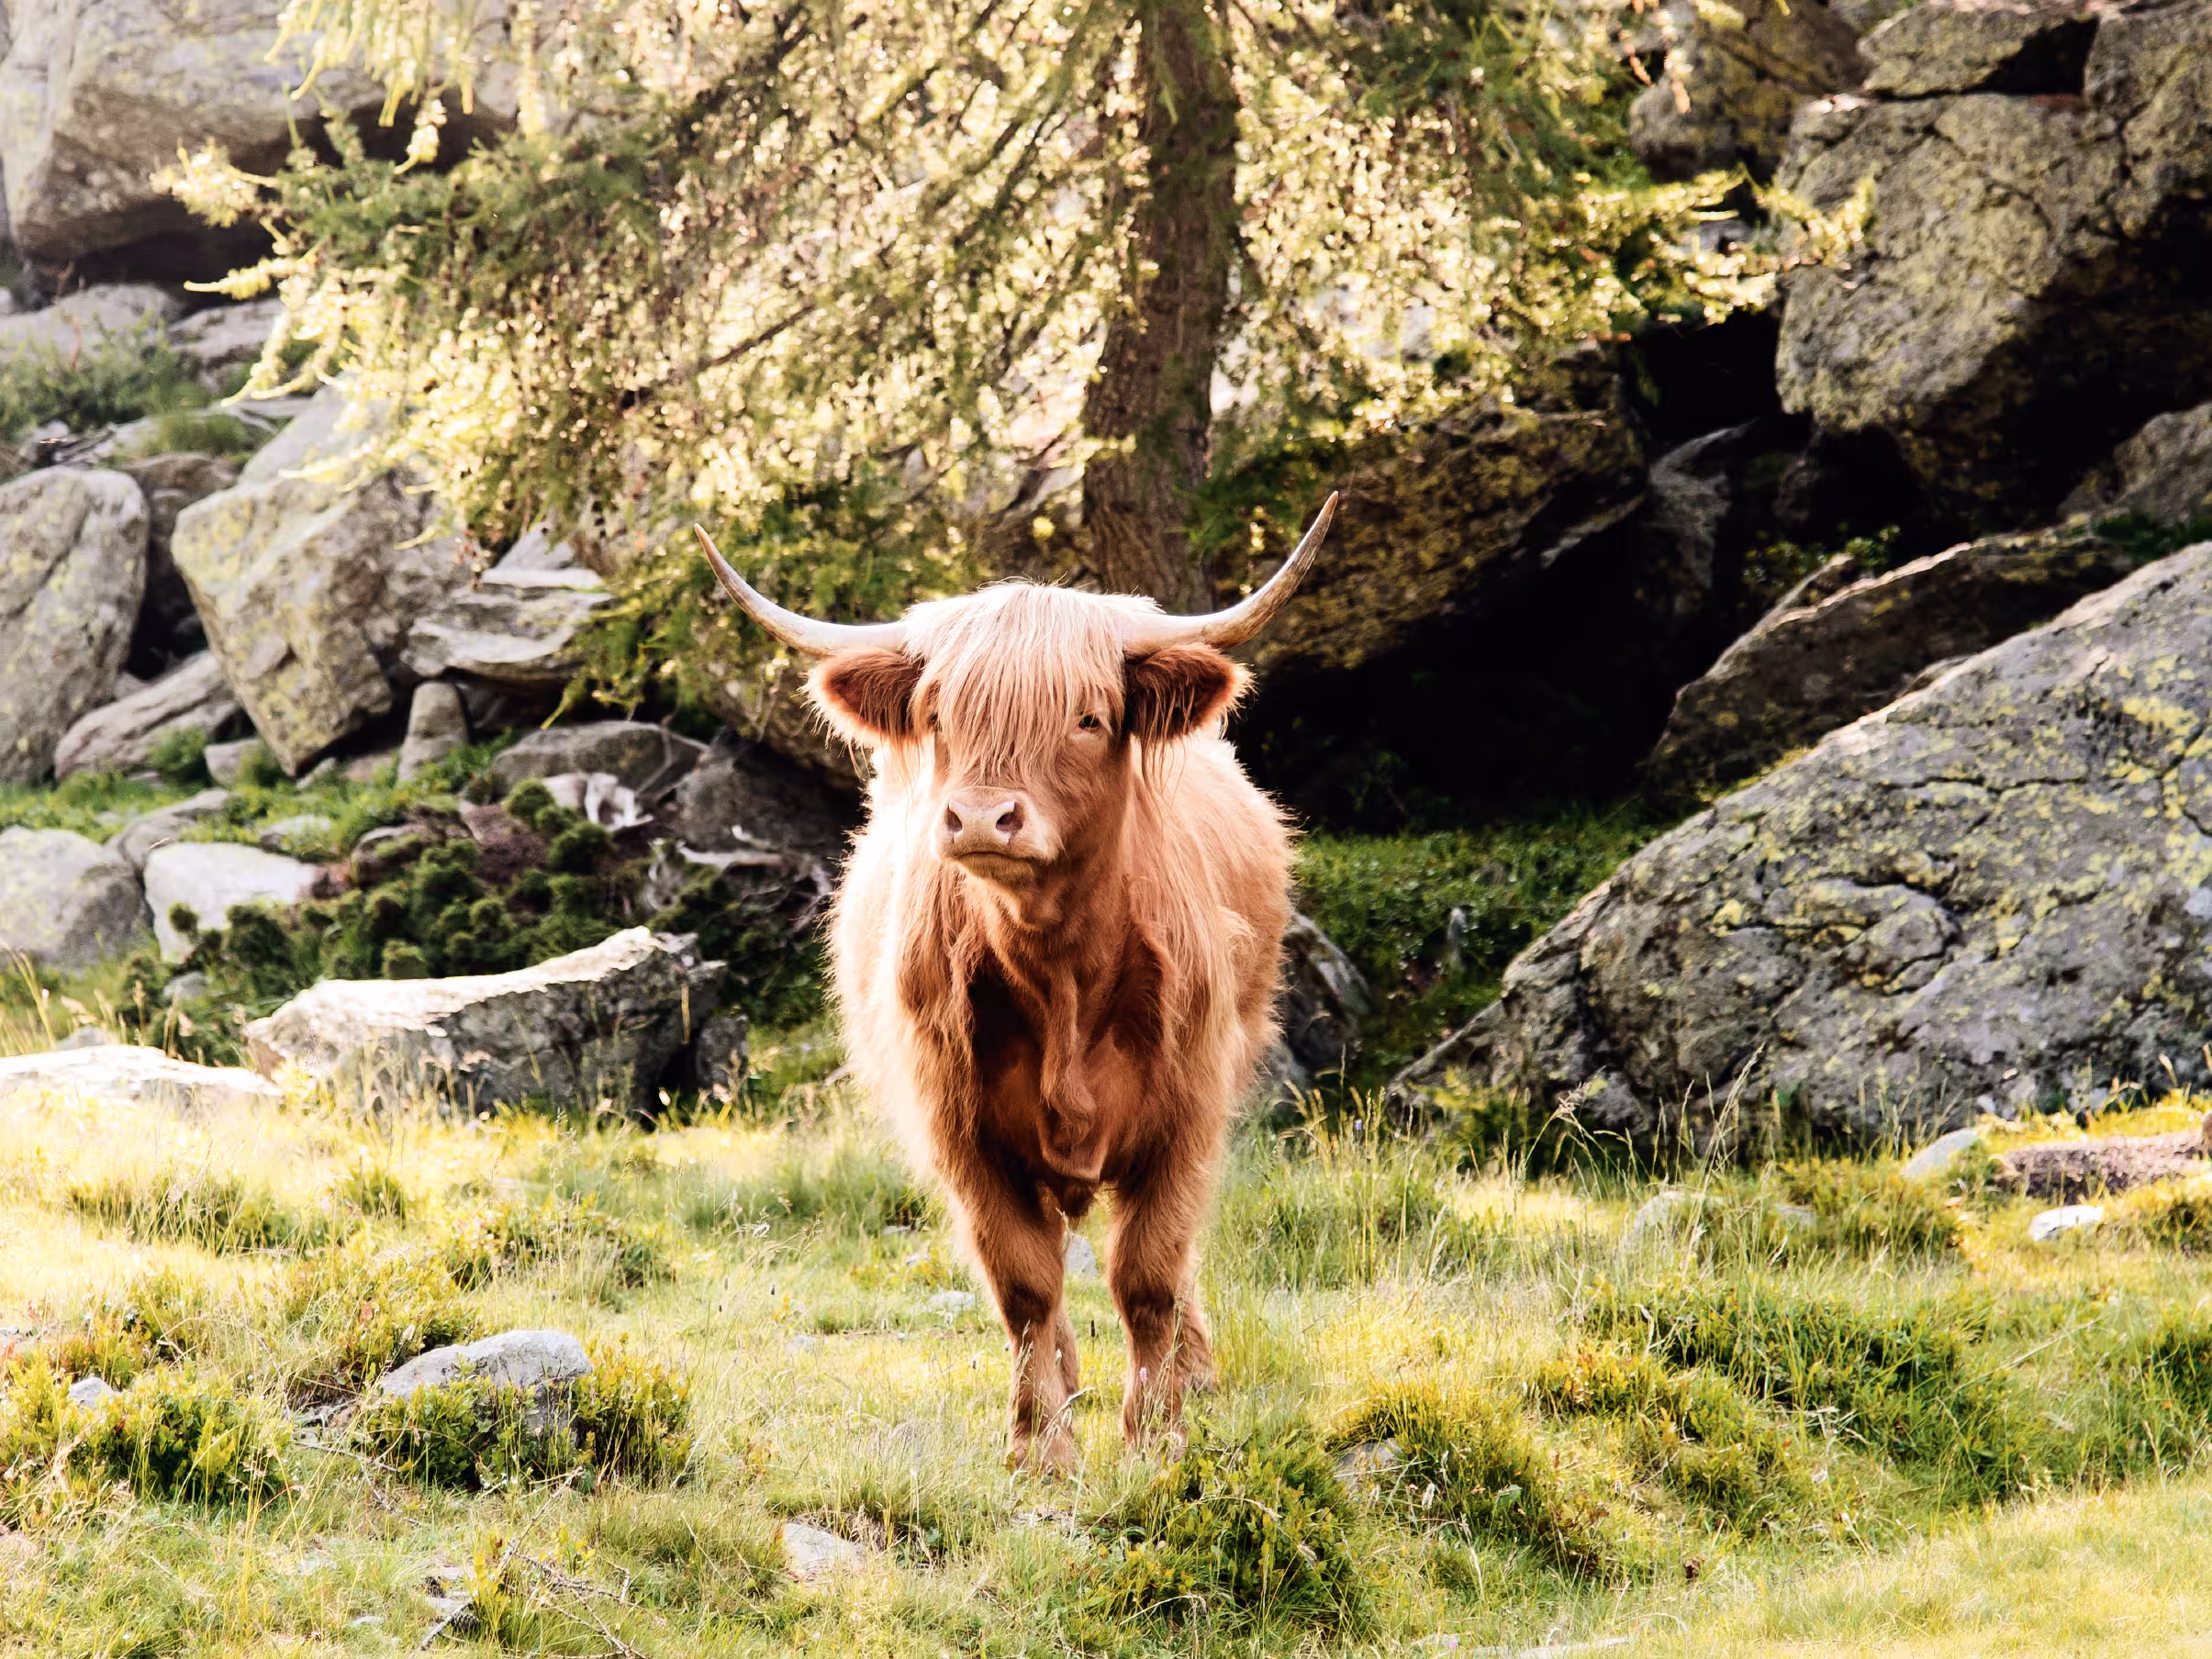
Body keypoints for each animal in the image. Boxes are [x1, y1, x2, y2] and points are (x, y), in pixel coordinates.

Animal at [694, 497, 1336, 1470]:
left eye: (1089, 717)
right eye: (938, 714)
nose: (980, 817)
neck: (1060, 973)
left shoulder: (1186, 1112)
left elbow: (1149, 1273)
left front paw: (1157, 1440)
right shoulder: (963, 1130)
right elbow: (1024, 1283)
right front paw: (1042, 1448)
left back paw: (1196, 1378)